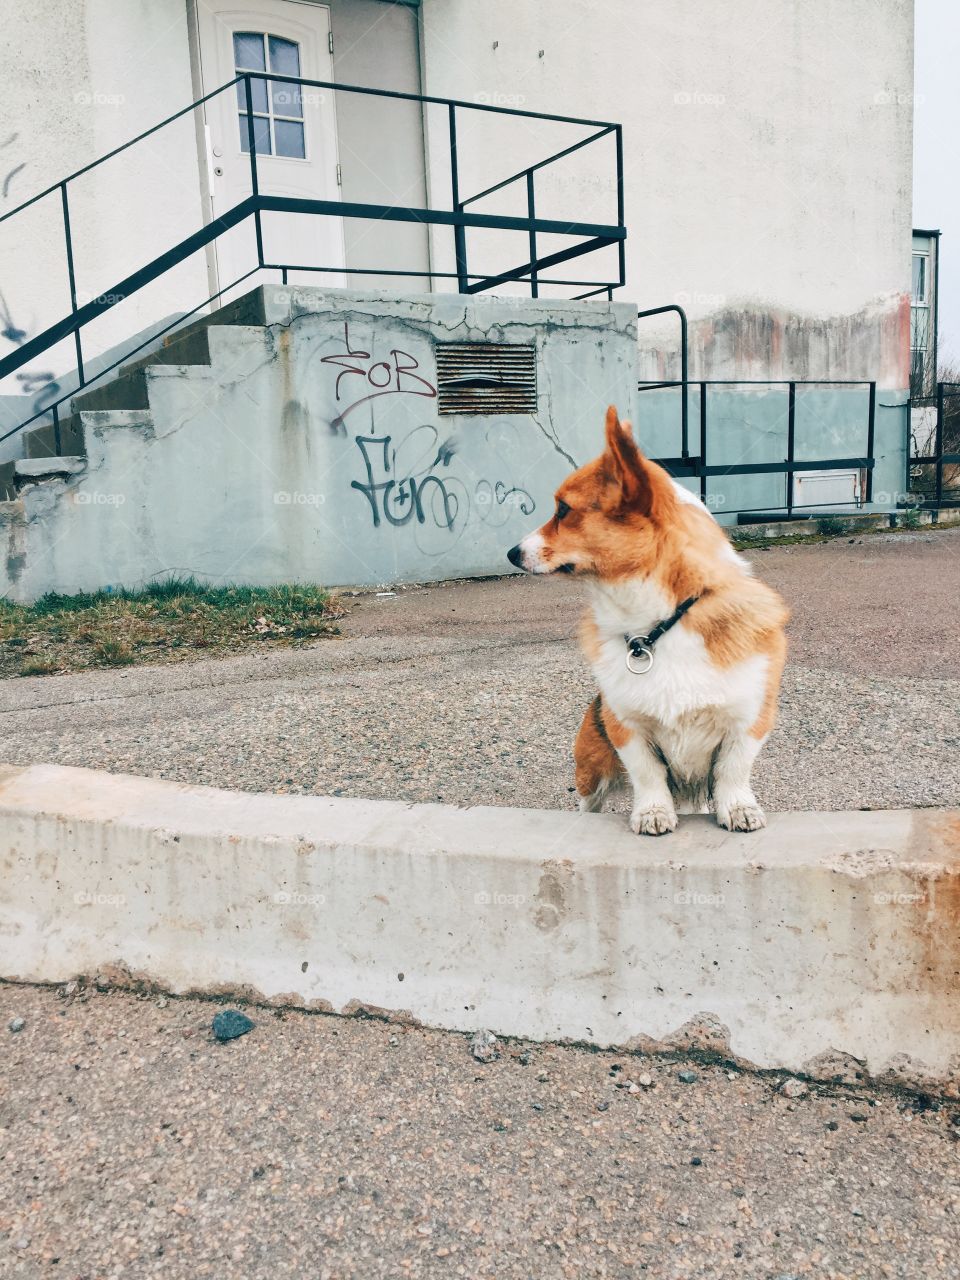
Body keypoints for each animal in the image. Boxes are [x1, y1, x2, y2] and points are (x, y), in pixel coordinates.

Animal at [504, 404, 788, 834]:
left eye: (564, 510)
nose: (511, 553)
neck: (659, 626)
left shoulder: (749, 720)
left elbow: (733, 771)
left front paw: (738, 808)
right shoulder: (627, 729)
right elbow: (648, 774)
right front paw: (653, 812)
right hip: (590, 770)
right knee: (589, 803)